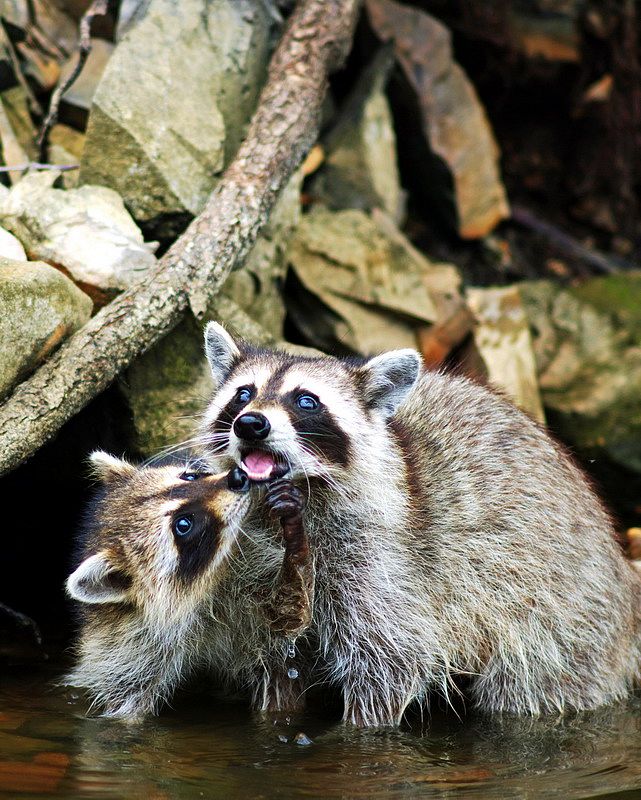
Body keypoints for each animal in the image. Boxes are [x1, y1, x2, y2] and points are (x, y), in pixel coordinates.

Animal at [66, 450, 314, 720]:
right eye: (183, 525)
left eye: (189, 476)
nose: (238, 477)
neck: (204, 588)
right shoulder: (123, 643)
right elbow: (125, 699)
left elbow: (285, 613)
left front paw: (295, 544)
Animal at [200, 322, 640, 728]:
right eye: (243, 394)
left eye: (306, 401)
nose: (251, 423)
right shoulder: (256, 567)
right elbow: (275, 659)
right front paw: (274, 713)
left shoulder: (383, 562)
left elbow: (391, 661)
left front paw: (360, 730)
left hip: (564, 615)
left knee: (530, 686)